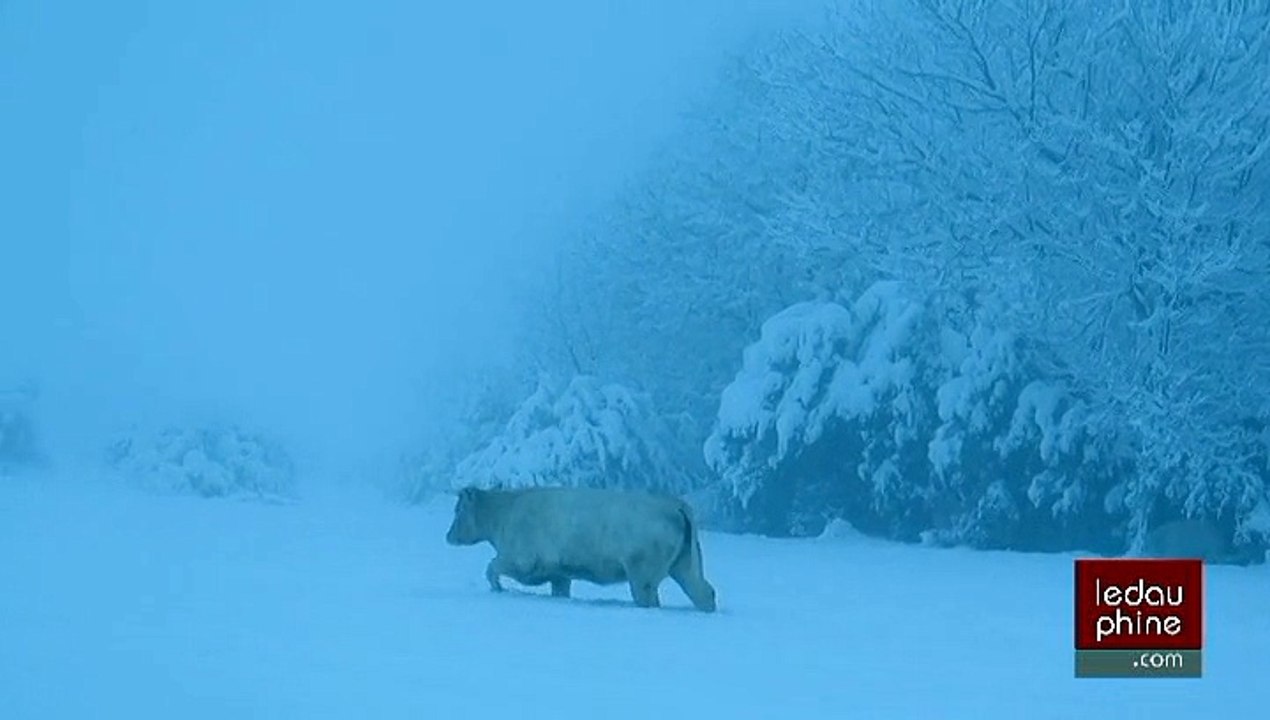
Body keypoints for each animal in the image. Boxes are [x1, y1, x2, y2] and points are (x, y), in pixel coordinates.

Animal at [444, 485, 718, 612]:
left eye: (458, 510)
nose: (448, 535)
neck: (504, 514)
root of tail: (674, 504)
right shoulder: (559, 574)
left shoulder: (522, 560)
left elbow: (491, 567)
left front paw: (498, 588)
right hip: (685, 565)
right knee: (705, 592)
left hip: (643, 575)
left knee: (650, 599)